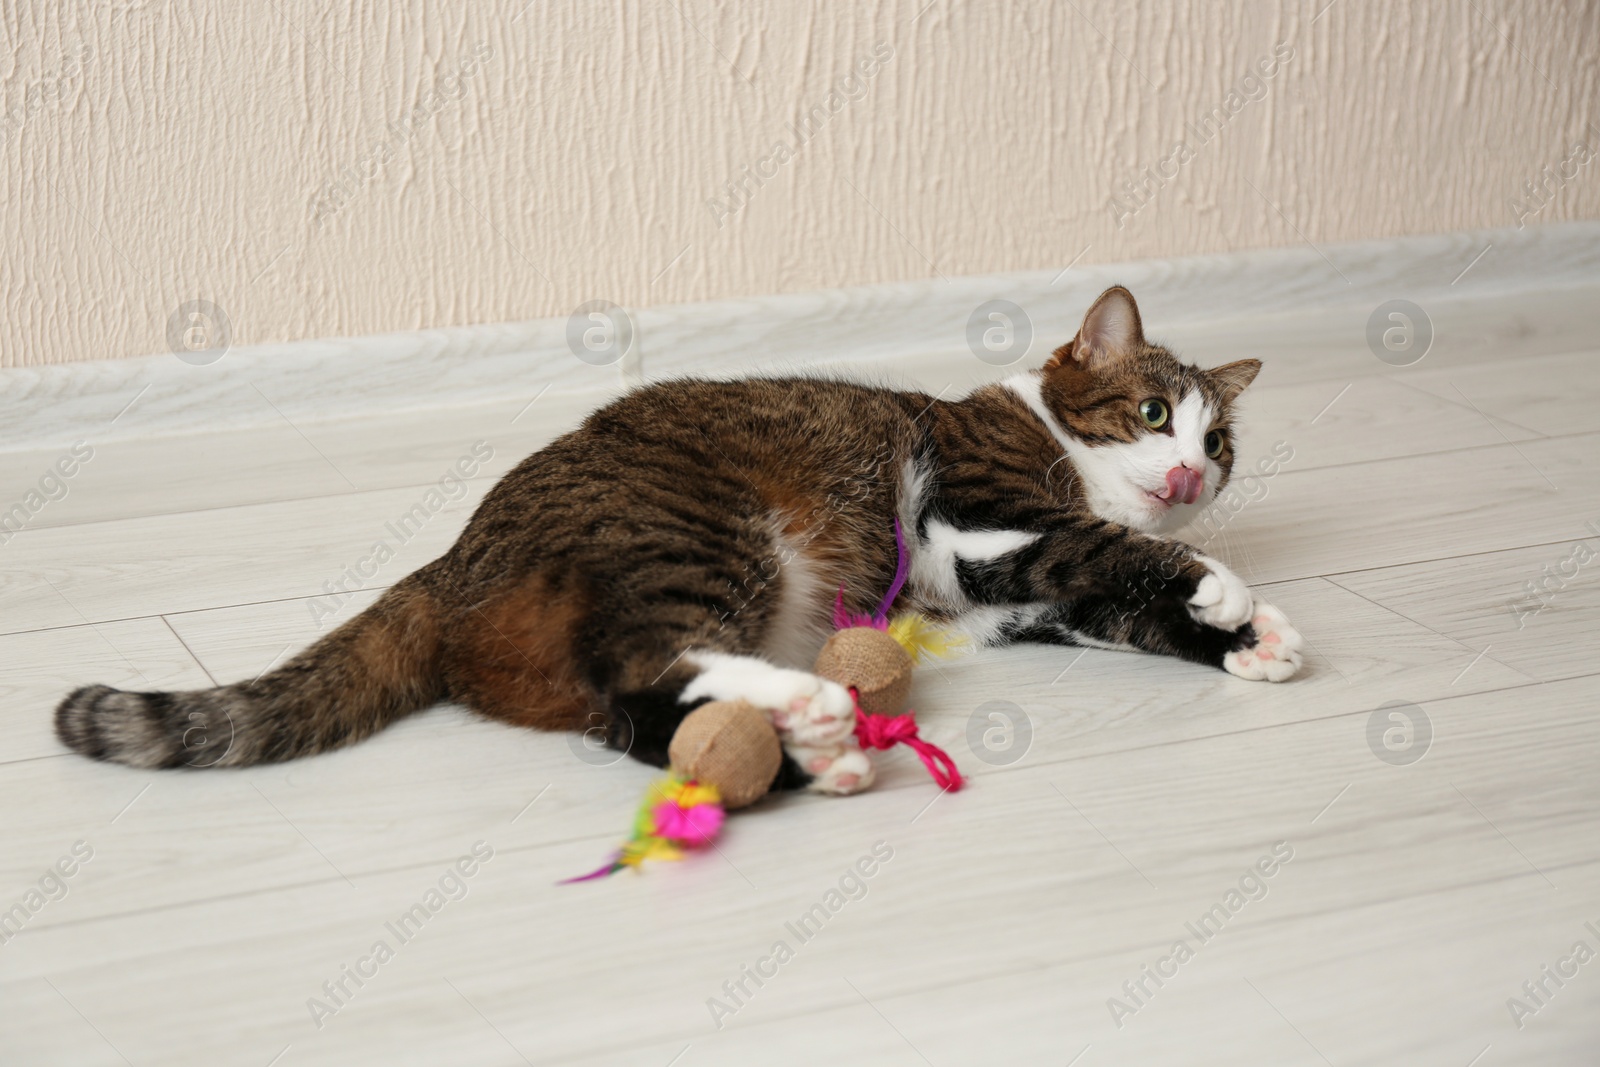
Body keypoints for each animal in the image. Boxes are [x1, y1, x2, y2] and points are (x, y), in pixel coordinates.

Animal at [56, 283, 1299, 793]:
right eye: (1152, 412)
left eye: (1219, 439)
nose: (1191, 471)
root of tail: (448, 562)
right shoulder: (984, 519)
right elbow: (1115, 551)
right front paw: (1225, 589)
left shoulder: (1012, 593)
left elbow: (1117, 600)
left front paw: (1250, 636)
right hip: (704, 535)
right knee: (644, 659)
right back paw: (804, 704)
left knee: (629, 713)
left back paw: (806, 748)